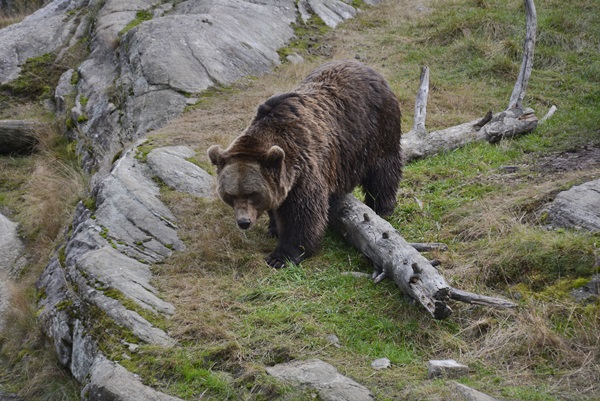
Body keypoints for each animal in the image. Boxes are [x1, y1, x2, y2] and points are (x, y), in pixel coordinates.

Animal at [207, 59, 404, 268]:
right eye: (230, 195)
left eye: (252, 193)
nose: (244, 222)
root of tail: (366, 67)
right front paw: (273, 227)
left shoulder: (304, 170)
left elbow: (302, 214)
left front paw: (281, 256)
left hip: (376, 130)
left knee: (382, 171)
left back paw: (381, 207)